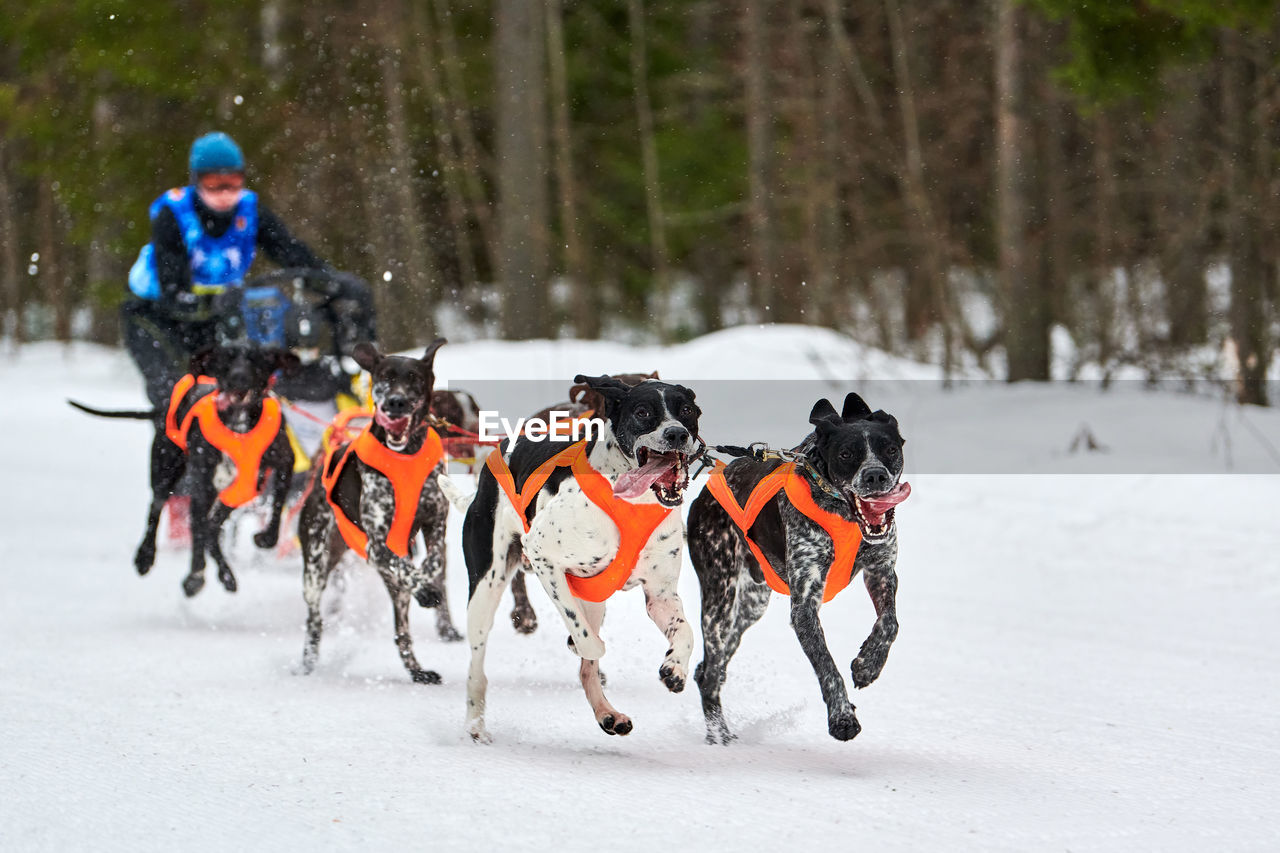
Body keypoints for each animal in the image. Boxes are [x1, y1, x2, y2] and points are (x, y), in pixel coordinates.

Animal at [72, 343, 299, 594]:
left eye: (255, 360)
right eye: (225, 359)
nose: (238, 377)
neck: (238, 428)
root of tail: (162, 410)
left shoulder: (282, 465)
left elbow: (276, 509)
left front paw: (265, 538)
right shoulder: (204, 488)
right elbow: (200, 532)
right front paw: (198, 575)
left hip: (233, 492)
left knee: (210, 527)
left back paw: (221, 574)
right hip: (165, 470)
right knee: (158, 508)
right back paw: (146, 557)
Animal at [296, 335, 463, 681]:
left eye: (413, 377)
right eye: (384, 376)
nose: (395, 402)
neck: (405, 454)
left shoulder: (435, 524)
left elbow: (433, 561)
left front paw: (429, 580)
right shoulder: (377, 545)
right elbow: (406, 568)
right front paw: (425, 589)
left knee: (402, 631)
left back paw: (418, 671)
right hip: (316, 566)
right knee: (315, 617)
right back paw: (307, 661)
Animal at [440, 371, 701, 737]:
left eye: (687, 409)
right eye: (643, 412)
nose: (676, 433)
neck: (633, 500)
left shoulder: (660, 595)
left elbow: (685, 632)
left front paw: (675, 667)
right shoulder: (542, 554)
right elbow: (588, 640)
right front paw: (580, 642)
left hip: (594, 596)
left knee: (586, 664)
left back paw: (607, 713)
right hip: (485, 591)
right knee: (477, 666)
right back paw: (475, 724)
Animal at [691, 389, 911, 737]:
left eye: (890, 449)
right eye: (846, 454)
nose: (875, 475)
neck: (844, 515)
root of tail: (704, 492)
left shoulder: (881, 570)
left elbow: (889, 623)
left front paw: (868, 664)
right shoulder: (805, 604)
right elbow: (827, 666)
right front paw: (842, 717)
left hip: (751, 605)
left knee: (710, 667)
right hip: (719, 602)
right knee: (710, 673)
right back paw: (719, 735)